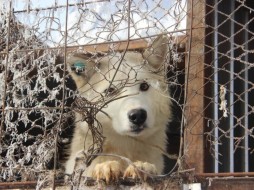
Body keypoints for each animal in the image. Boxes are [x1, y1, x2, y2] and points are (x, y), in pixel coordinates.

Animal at [64, 35, 172, 182]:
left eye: (144, 86)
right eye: (110, 91)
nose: (138, 115)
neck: (126, 146)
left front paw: (143, 167)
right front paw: (105, 166)